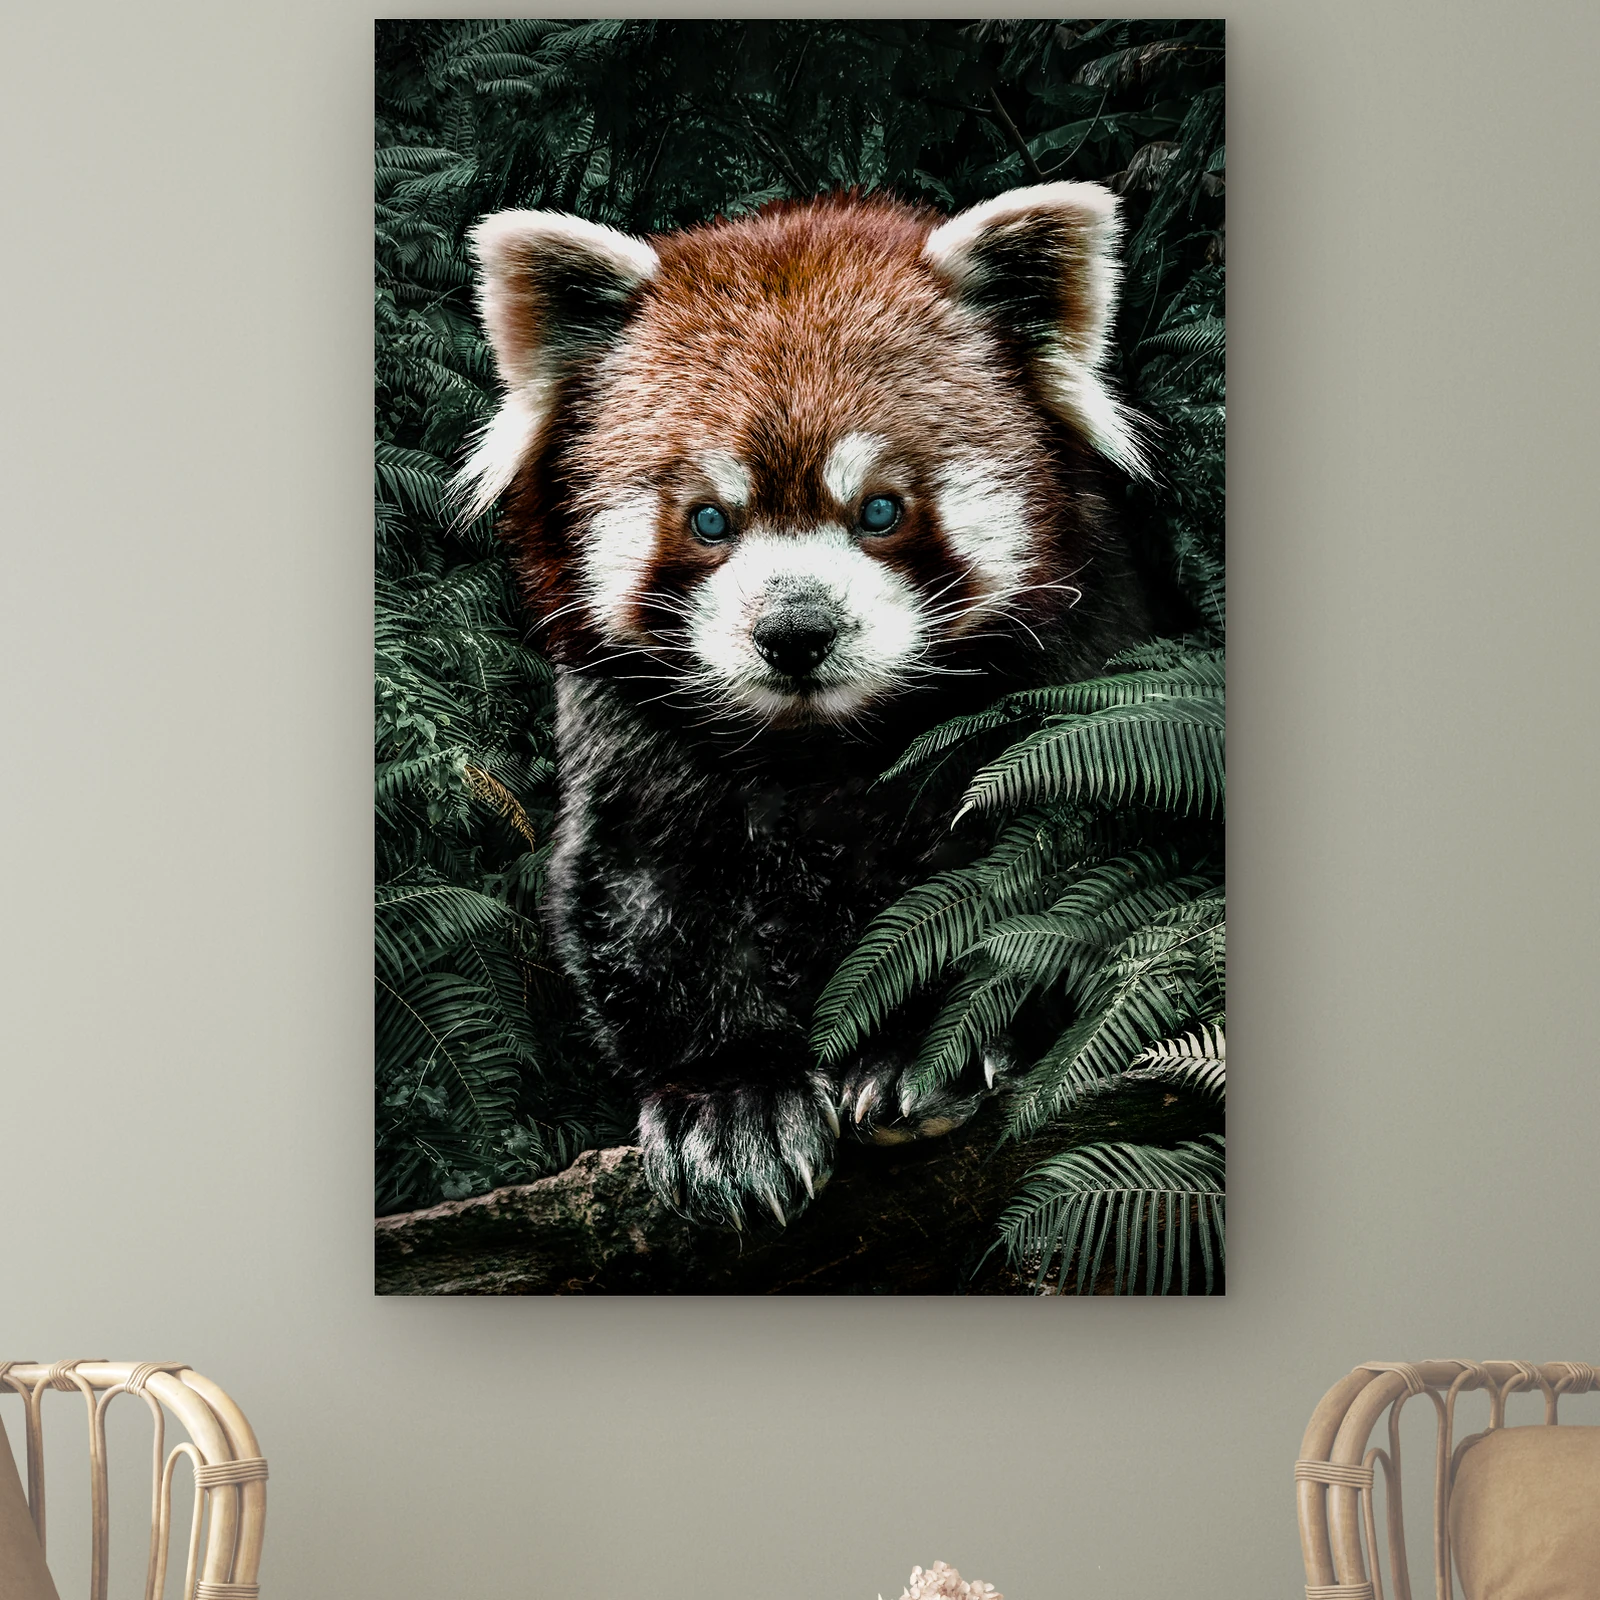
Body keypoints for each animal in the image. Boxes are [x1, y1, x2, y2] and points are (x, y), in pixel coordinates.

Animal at [458, 183, 1156, 1228]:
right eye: (709, 519)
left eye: (881, 510)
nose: (796, 629)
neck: (819, 748)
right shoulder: (633, 744)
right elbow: (641, 903)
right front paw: (729, 1099)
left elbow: (1031, 883)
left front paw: (919, 1053)